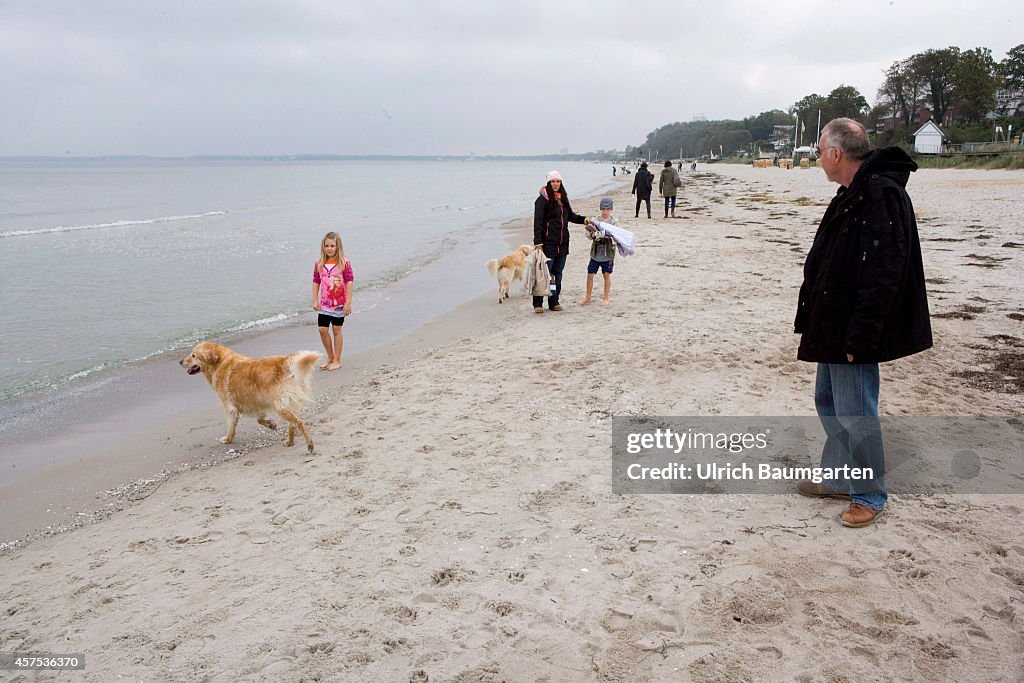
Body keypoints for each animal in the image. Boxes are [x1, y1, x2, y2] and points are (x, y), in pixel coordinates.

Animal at [178, 342, 317, 454]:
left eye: (193, 355)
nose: (180, 361)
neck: (219, 363)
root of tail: (284, 361)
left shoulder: (230, 407)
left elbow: (231, 426)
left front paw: (227, 439)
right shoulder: (257, 401)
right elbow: (259, 419)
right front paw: (271, 424)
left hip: (279, 405)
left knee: (298, 422)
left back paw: (309, 444)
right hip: (286, 402)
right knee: (292, 423)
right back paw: (290, 441)